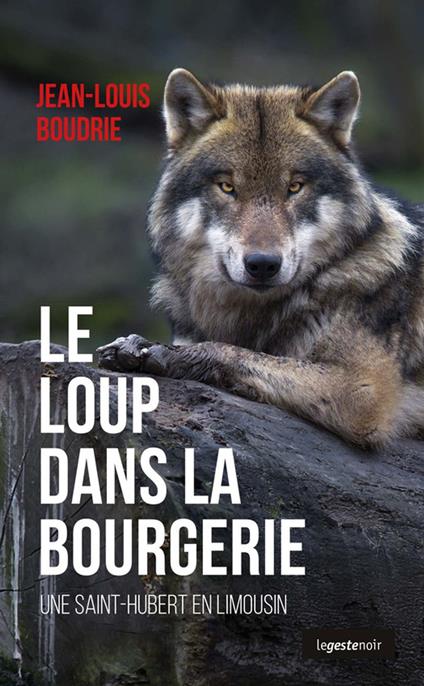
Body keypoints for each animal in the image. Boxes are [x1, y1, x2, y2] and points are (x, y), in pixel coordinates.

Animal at [98, 68, 424, 448]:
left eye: (295, 187)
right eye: (227, 187)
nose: (263, 264)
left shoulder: (361, 390)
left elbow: (237, 353)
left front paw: (165, 355)